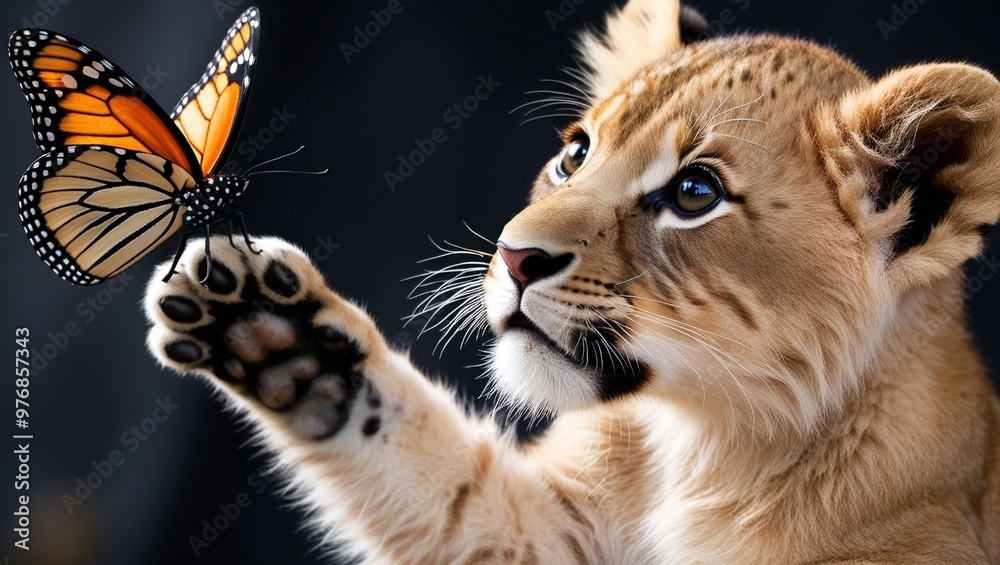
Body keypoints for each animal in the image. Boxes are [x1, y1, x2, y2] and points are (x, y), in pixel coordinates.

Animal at [144, 0, 1000, 561]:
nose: (514, 256)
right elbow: (440, 482)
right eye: (576, 152)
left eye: (695, 192)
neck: (700, 448)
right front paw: (270, 331)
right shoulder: (545, 529)